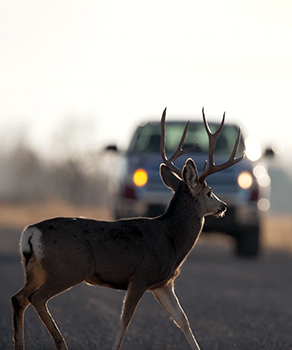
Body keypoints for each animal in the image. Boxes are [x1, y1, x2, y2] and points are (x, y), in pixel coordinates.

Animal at [11, 108, 244, 348]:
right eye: (209, 192)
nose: (223, 206)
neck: (173, 239)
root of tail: (31, 232)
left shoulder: (163, 282)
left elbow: (182, 320)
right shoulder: (141, 276)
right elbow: (125, 320)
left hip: (37, 269)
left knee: (18, 298)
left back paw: (20, 344)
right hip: (68, 269)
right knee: (36, 298)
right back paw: (61, 343)